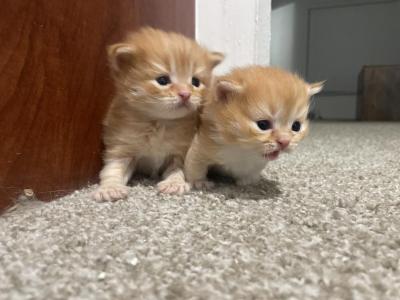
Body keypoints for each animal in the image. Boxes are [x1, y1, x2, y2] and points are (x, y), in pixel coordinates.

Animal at [94, 27, 225, 202]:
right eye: (162, 80)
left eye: (195, 82)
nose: (185, 94)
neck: (160, 121)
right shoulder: (122, 146)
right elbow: (112, 169)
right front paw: (110, 187)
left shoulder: (179, 150)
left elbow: (177, 169)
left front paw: (174, 183)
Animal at [184, 66, 322, 188]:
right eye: (263, 125)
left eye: (296, 126)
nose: (285, 142)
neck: (242, 148)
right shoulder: (202, 146)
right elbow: (196, 166)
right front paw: (199, 182)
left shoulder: (258, 163)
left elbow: (251, 172)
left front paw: (248, 181)